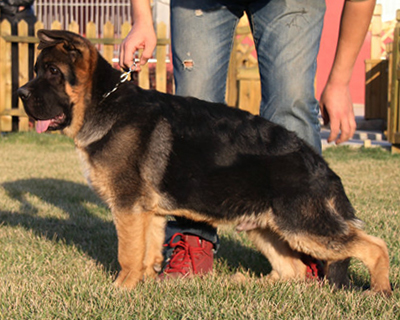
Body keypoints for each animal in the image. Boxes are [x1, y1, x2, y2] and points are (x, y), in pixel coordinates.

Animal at [18, 30, 390, 296]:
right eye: (37, 71)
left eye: (52, 72)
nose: (20, 94)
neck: (103, 104)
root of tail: (319, 164)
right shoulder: (148, 213)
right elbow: (147, 253)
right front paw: (143, 287)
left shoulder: (127, 207)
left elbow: (128, 253)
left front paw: (120, 290)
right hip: (264, 227)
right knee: (293, 271)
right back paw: (247, 285)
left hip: (303, 227)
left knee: (374, 247)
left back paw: (380, 292)